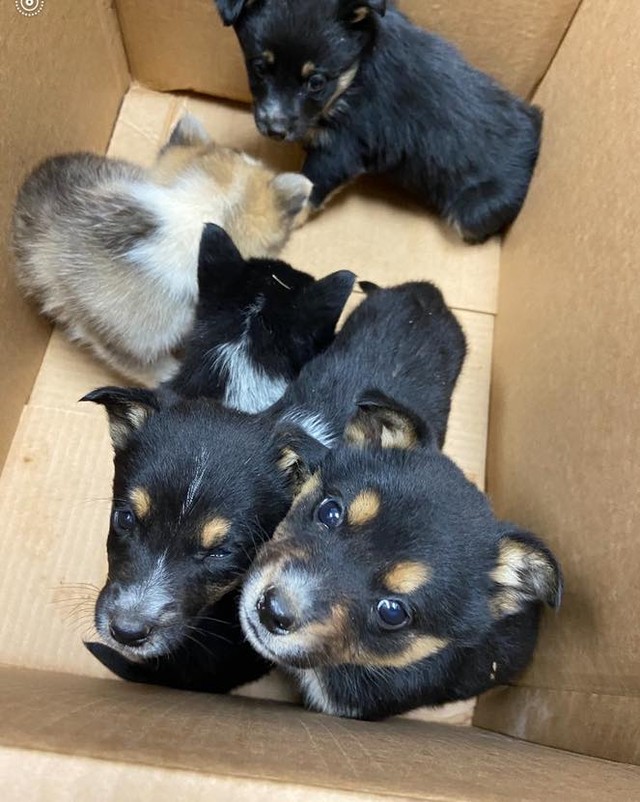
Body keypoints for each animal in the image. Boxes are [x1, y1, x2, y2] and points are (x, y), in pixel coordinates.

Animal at [214, 0, 540, 244]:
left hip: (473, 210)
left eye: (316, 82)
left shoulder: (343, 148)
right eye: (259, 67)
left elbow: (312, 186)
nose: (274, 130)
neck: (355, 71)